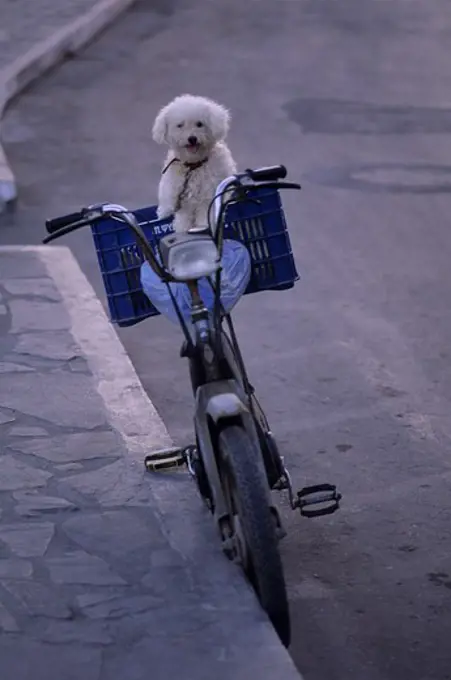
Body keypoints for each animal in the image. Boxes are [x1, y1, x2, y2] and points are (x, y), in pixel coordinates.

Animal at [152, 94, 237, 234]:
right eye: (180, 125)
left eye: (199, 124)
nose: (192, 138)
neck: (194, 165)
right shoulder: (183, 204)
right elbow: (183, 222)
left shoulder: (208, 198)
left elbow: (204, 219)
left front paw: (202, 228)